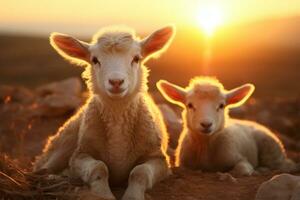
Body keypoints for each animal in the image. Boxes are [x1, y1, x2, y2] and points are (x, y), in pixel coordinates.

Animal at [33, 25, 176, 200]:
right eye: (95, 60)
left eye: (136, 58)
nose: (116, 82)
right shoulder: (80, 155)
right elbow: (99, 168)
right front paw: (103, 194)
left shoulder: (159, 159)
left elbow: (139, 172)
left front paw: (132, 196)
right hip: (64, 142)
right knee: (43, 168)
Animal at [158, 76, 298, 177]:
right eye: (190, 105)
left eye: (221, 106)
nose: (206, 124)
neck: (205, 147)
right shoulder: (183, 164)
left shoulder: (241, 159)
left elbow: (241, 171)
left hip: (271, 150)